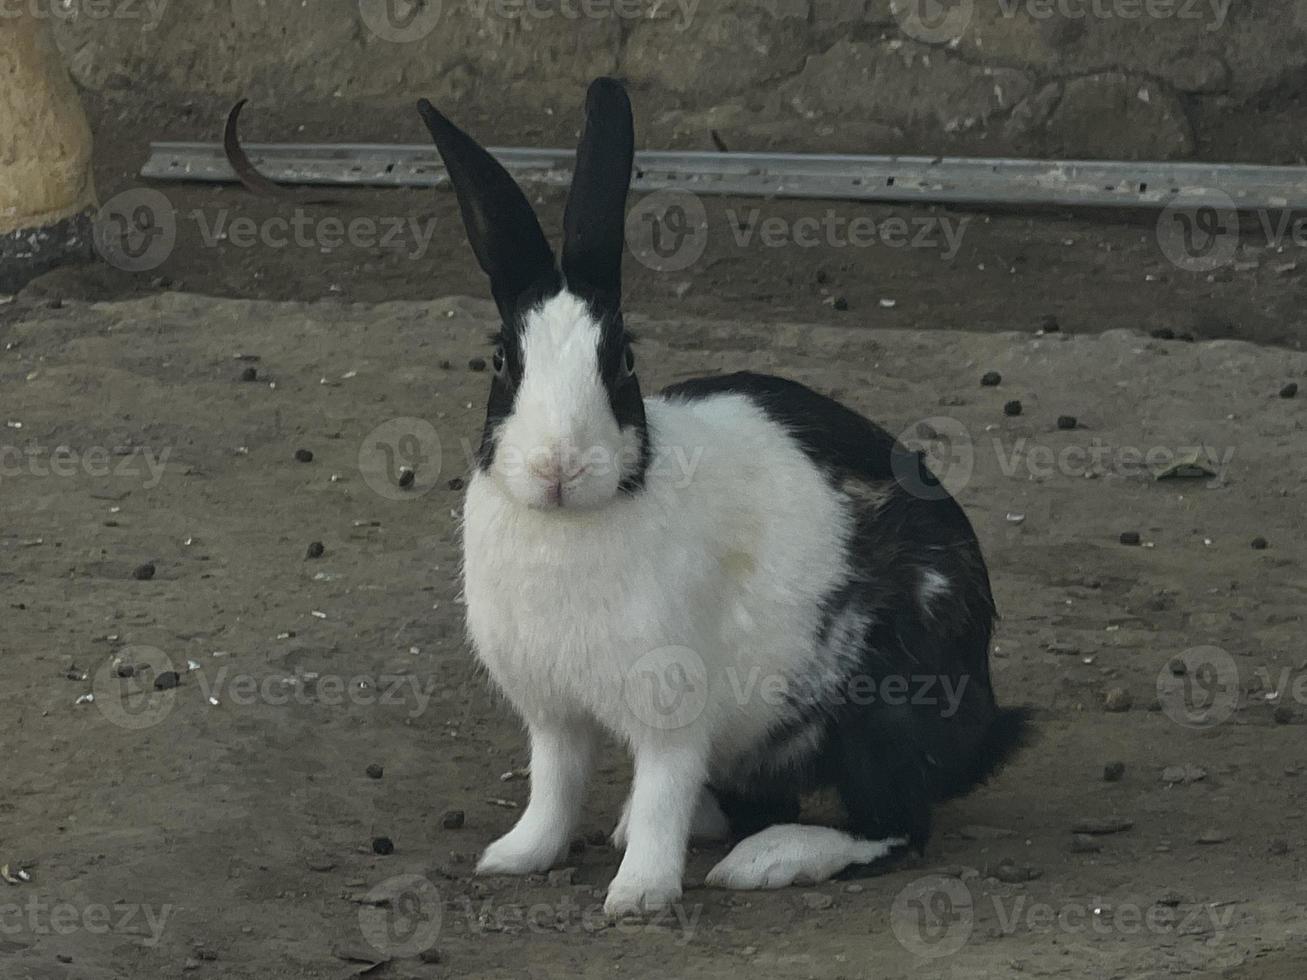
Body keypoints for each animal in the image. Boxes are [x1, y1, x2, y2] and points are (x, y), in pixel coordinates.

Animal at [418, 80, 1029, 919]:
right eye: (501, 361)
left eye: (623, 361)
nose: (558, 466)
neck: (572, 521)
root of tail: (976, 727)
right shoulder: (553, 715)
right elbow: (554, 788)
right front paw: (514, 857)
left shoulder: (672, 709)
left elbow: (661, 792)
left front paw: (638, 894)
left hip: (882, 712)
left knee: (894, 825)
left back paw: (766, 861)